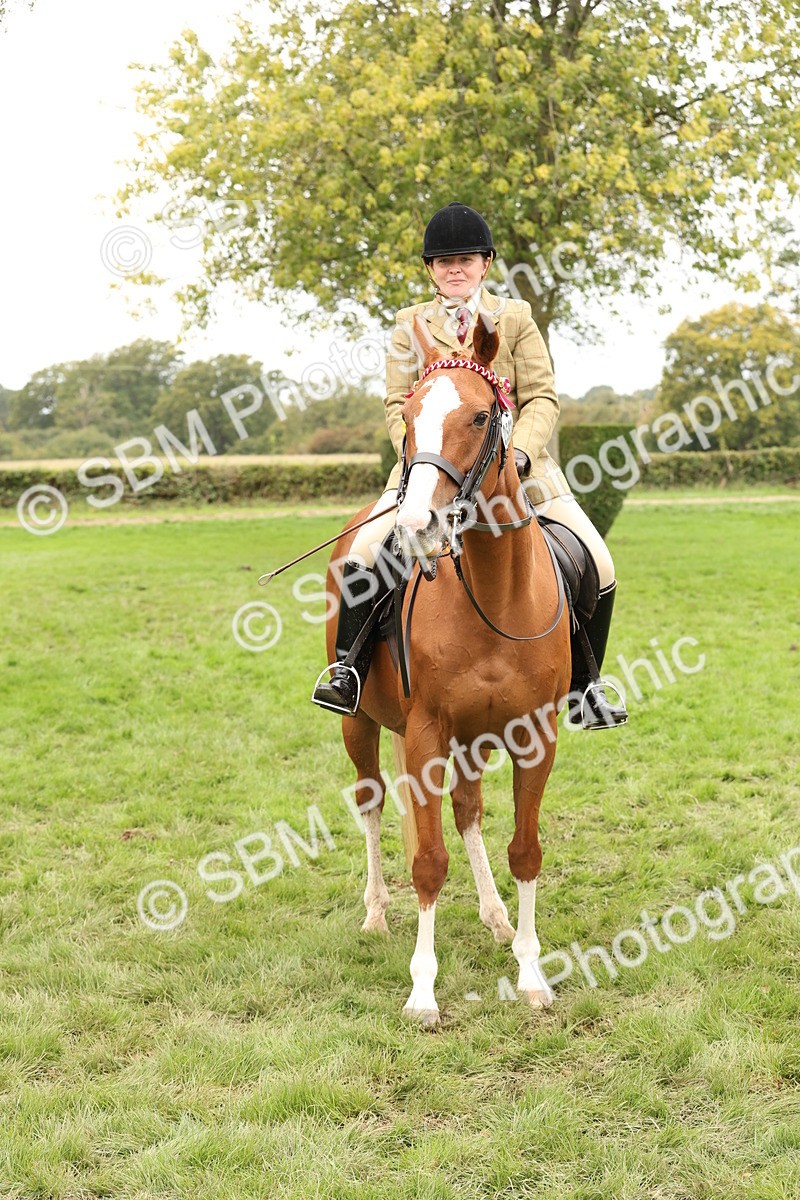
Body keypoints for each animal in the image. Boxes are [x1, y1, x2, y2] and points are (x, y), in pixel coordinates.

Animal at [323, 314, 571, 1025]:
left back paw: (494, 917)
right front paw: (423, 991)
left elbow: (525, 851)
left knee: (467, 809)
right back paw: (377, 915)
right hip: (362, 726)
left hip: (474, 738)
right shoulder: (427, 733)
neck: (492, 594)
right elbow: (428, 862)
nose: (417, 524)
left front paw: (531, 974)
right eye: (408, 417)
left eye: (483, 415)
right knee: (372, 801)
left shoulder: (533, 737)